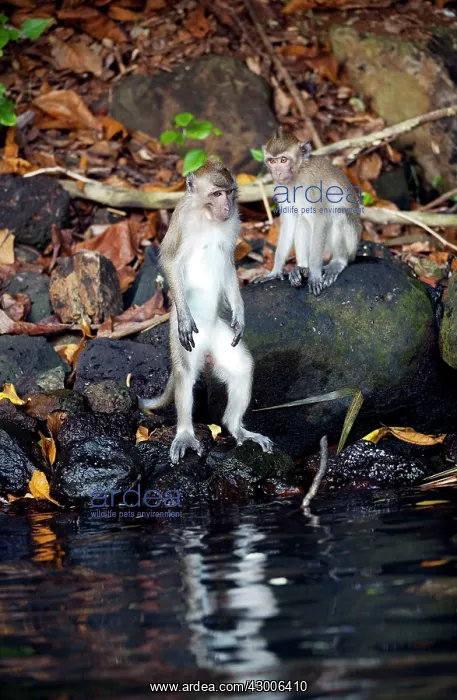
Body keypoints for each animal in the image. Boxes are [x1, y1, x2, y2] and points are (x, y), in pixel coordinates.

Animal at [138, 156, 273, 464]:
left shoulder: (234, 224)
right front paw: (187, 319)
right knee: (186, 373)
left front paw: (240, 316)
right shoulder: (180, 220)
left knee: (241, 368)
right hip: (183, 340)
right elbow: (170, 261)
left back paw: (237, 428)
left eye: (230, 192)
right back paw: (186, 433)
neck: (207, 217)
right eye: (216, 193)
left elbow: (229, 265)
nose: (227, 206)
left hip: (220, 341)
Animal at [255, 128, 362, 295]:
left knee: (339, 216)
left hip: (351, 244)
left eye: (283, 160)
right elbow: (290, 221)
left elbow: (322, 218)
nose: (277, 173)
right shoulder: (280, 187)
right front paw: (275, 271)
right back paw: (302, 268)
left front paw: (315, 274)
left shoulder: (314, 185)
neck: (299, 173)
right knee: (302, 221)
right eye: (272, 161)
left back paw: (338, 261)